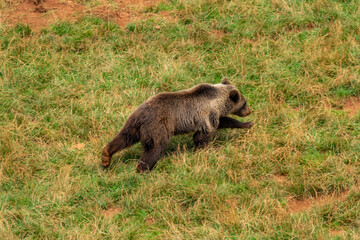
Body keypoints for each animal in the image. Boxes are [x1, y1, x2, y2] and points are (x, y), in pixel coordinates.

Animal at [101, 79, 253, 172]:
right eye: (244, 103)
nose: (249, 111)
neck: (217, 101)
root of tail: (141, 116)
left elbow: (223, 121)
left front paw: (248, 124)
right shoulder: (207, 114)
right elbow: (205, 133)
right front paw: (204, 149)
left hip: (133, 123)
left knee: (123, 138)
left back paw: (106, 157)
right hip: (158, 126)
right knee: (155, 147)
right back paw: (143, 169)